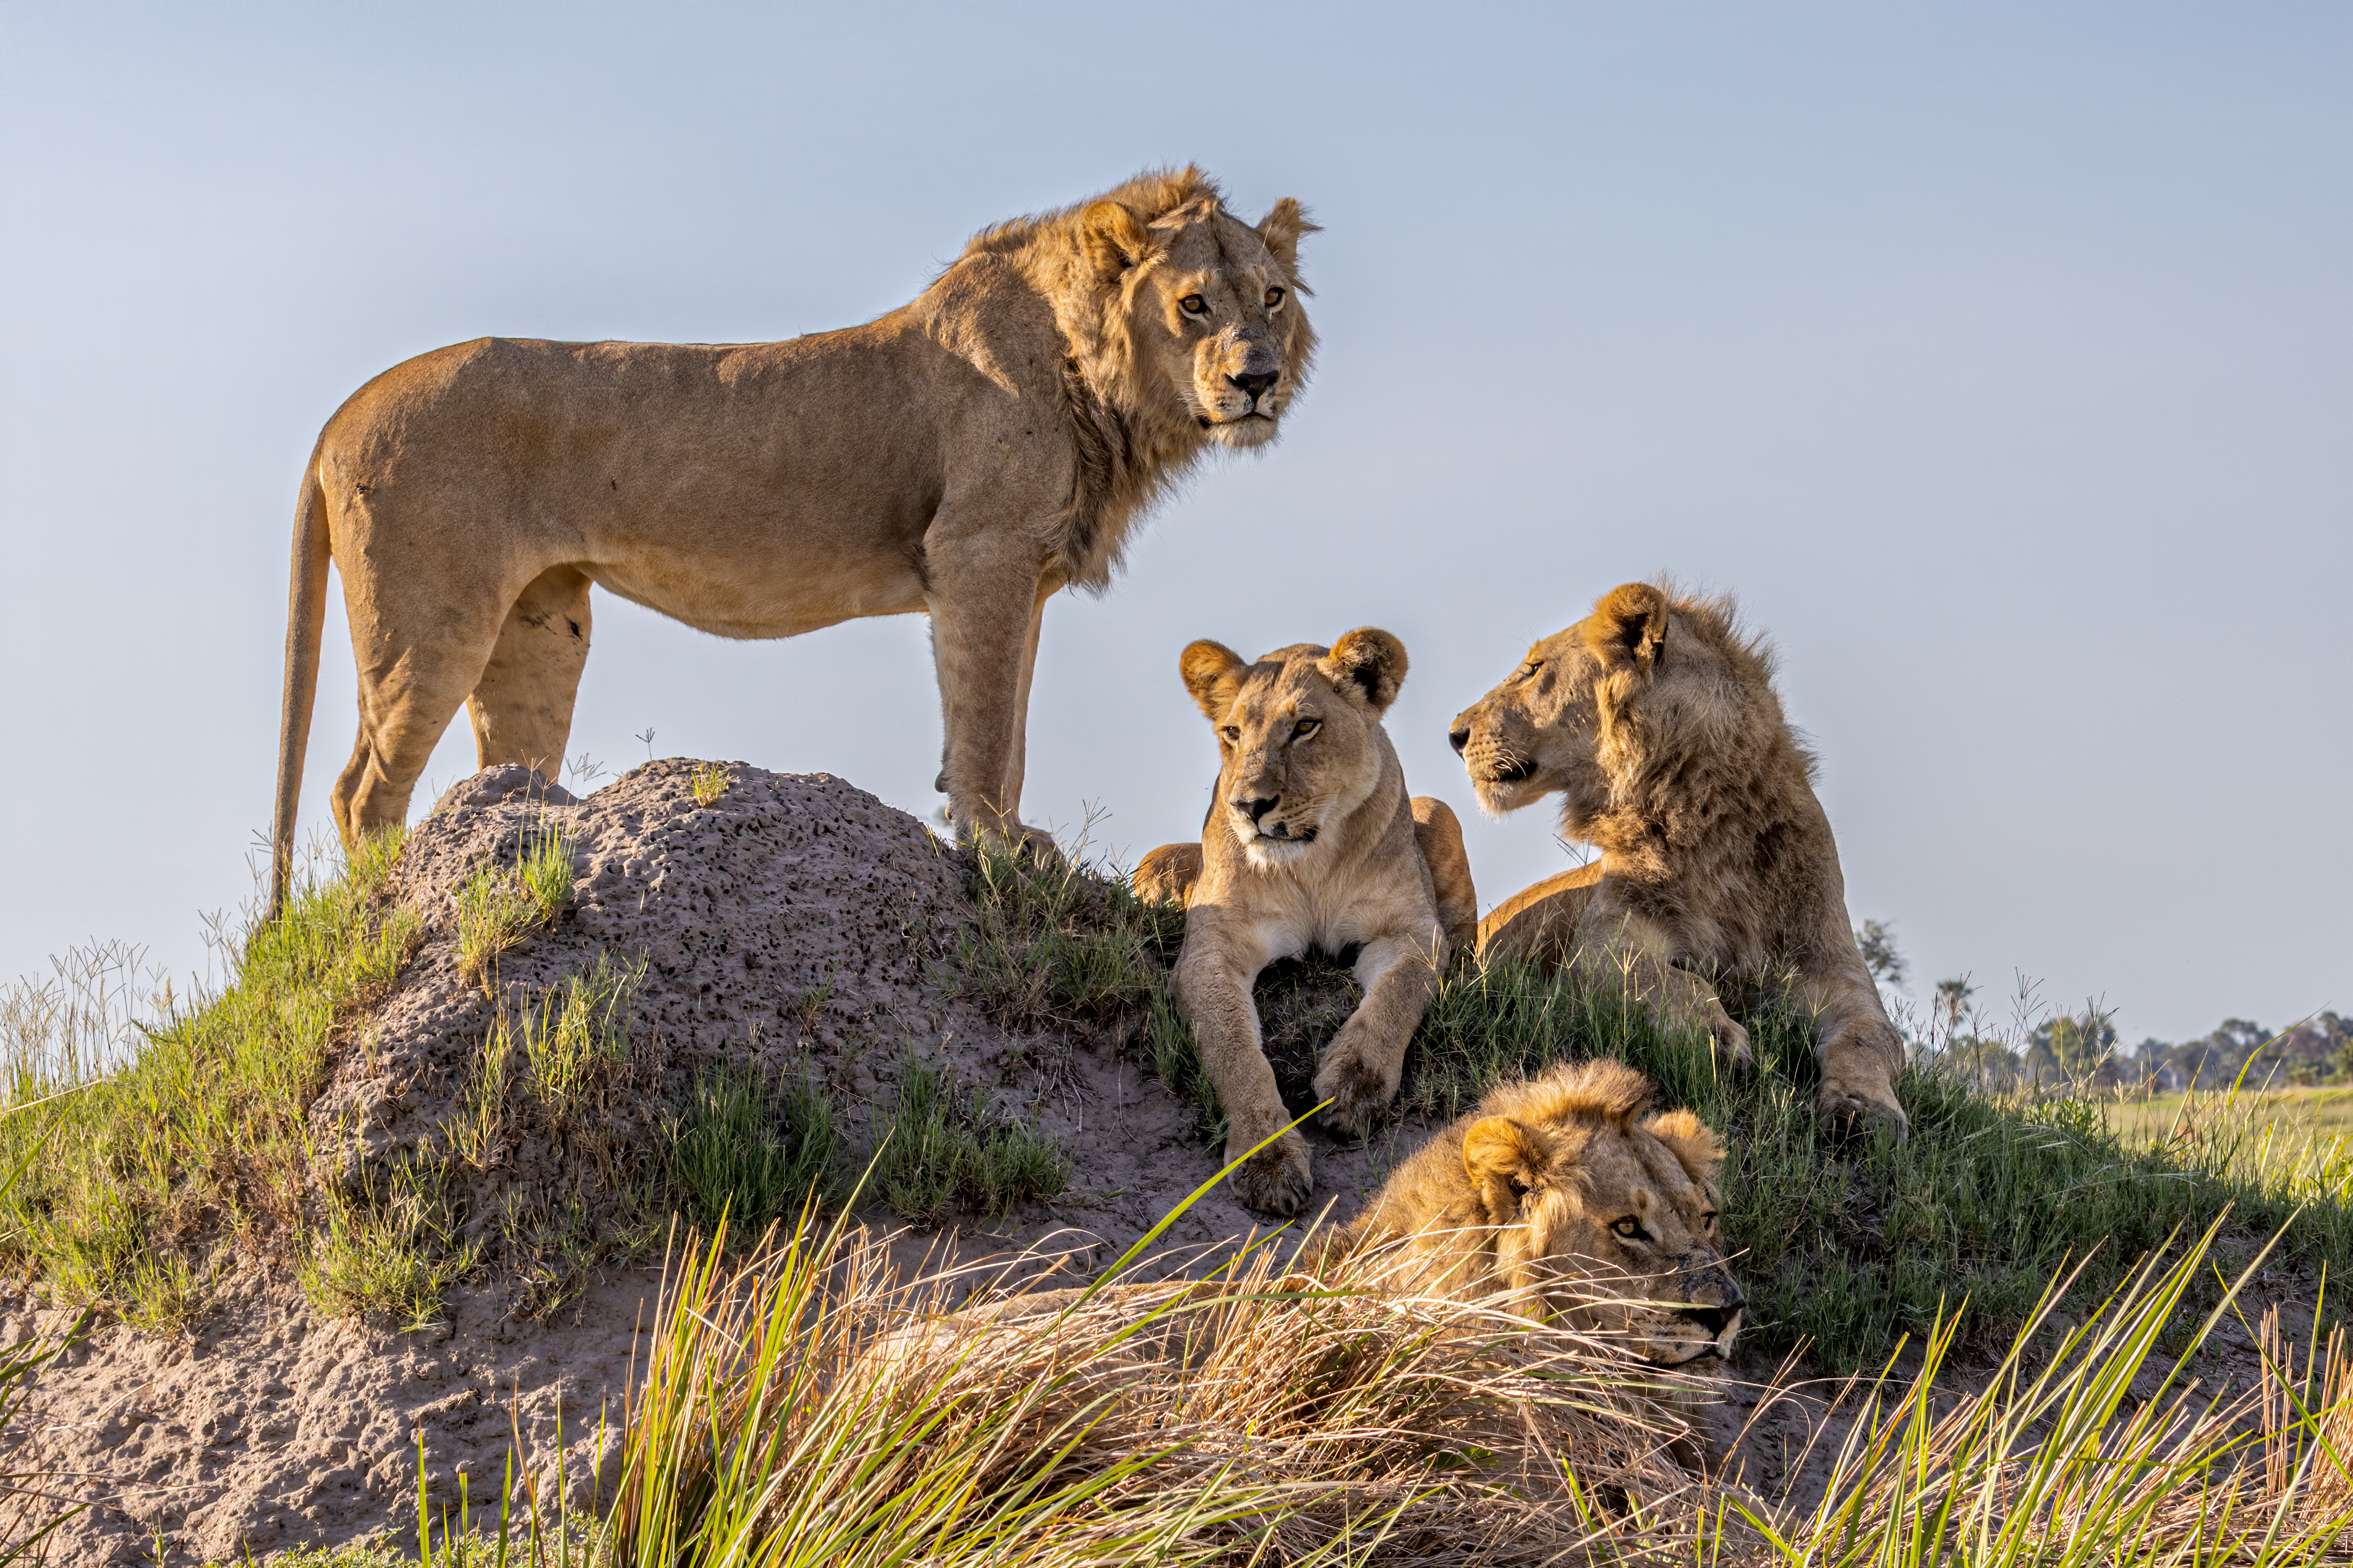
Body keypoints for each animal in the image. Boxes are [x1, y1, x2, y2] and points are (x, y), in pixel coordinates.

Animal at [270, 167, 1327, 912]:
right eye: (1193, 302)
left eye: (1272, 297)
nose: (1257, 380)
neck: (1103, 383)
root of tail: (335, 418)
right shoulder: (977, 553)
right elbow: (985, 727)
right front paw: (993, 853)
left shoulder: (1021, 575)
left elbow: (1013, 727)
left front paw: (1017, 842)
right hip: (432, 618)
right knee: (361, 788)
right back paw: (379, 906)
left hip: (537, 628)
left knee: (498, 770)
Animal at [1449, 585, 1910, 1142]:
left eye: (1534, 668)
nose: (1455, 734)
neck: (1704, 818)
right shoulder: (1601, 944)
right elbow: (1668, 979)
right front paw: (1716, 1038)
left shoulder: (1837, 971)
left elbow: (1872, 1036)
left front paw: (1867, 1109)